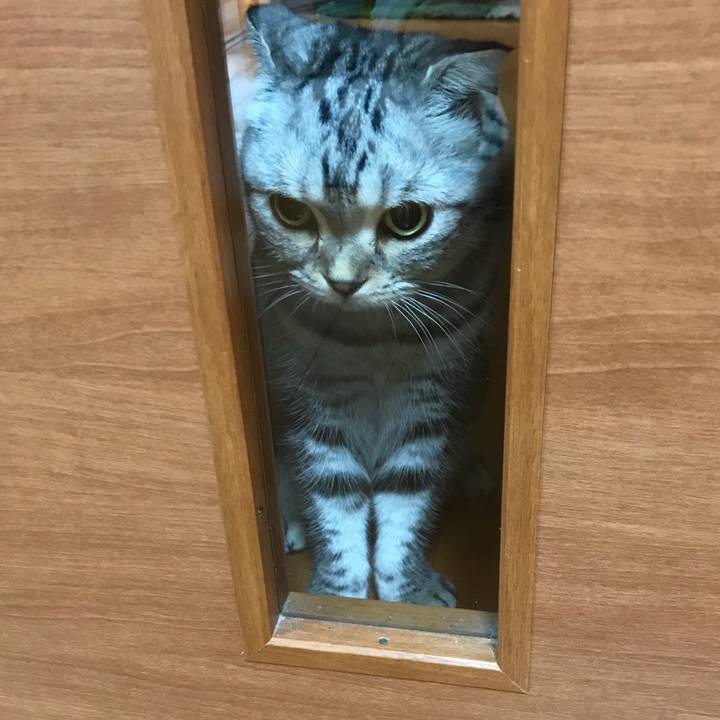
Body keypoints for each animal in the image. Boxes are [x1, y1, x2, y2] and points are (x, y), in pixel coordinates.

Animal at [235, 4, 510, 607]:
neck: (374, 341)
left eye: (406, 220)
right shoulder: (315, 405)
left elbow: (408, 501)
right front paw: (337, 597)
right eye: (291, 212)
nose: (343, 282)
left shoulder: (430, 402)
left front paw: (408, 590)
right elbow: (334, 506)